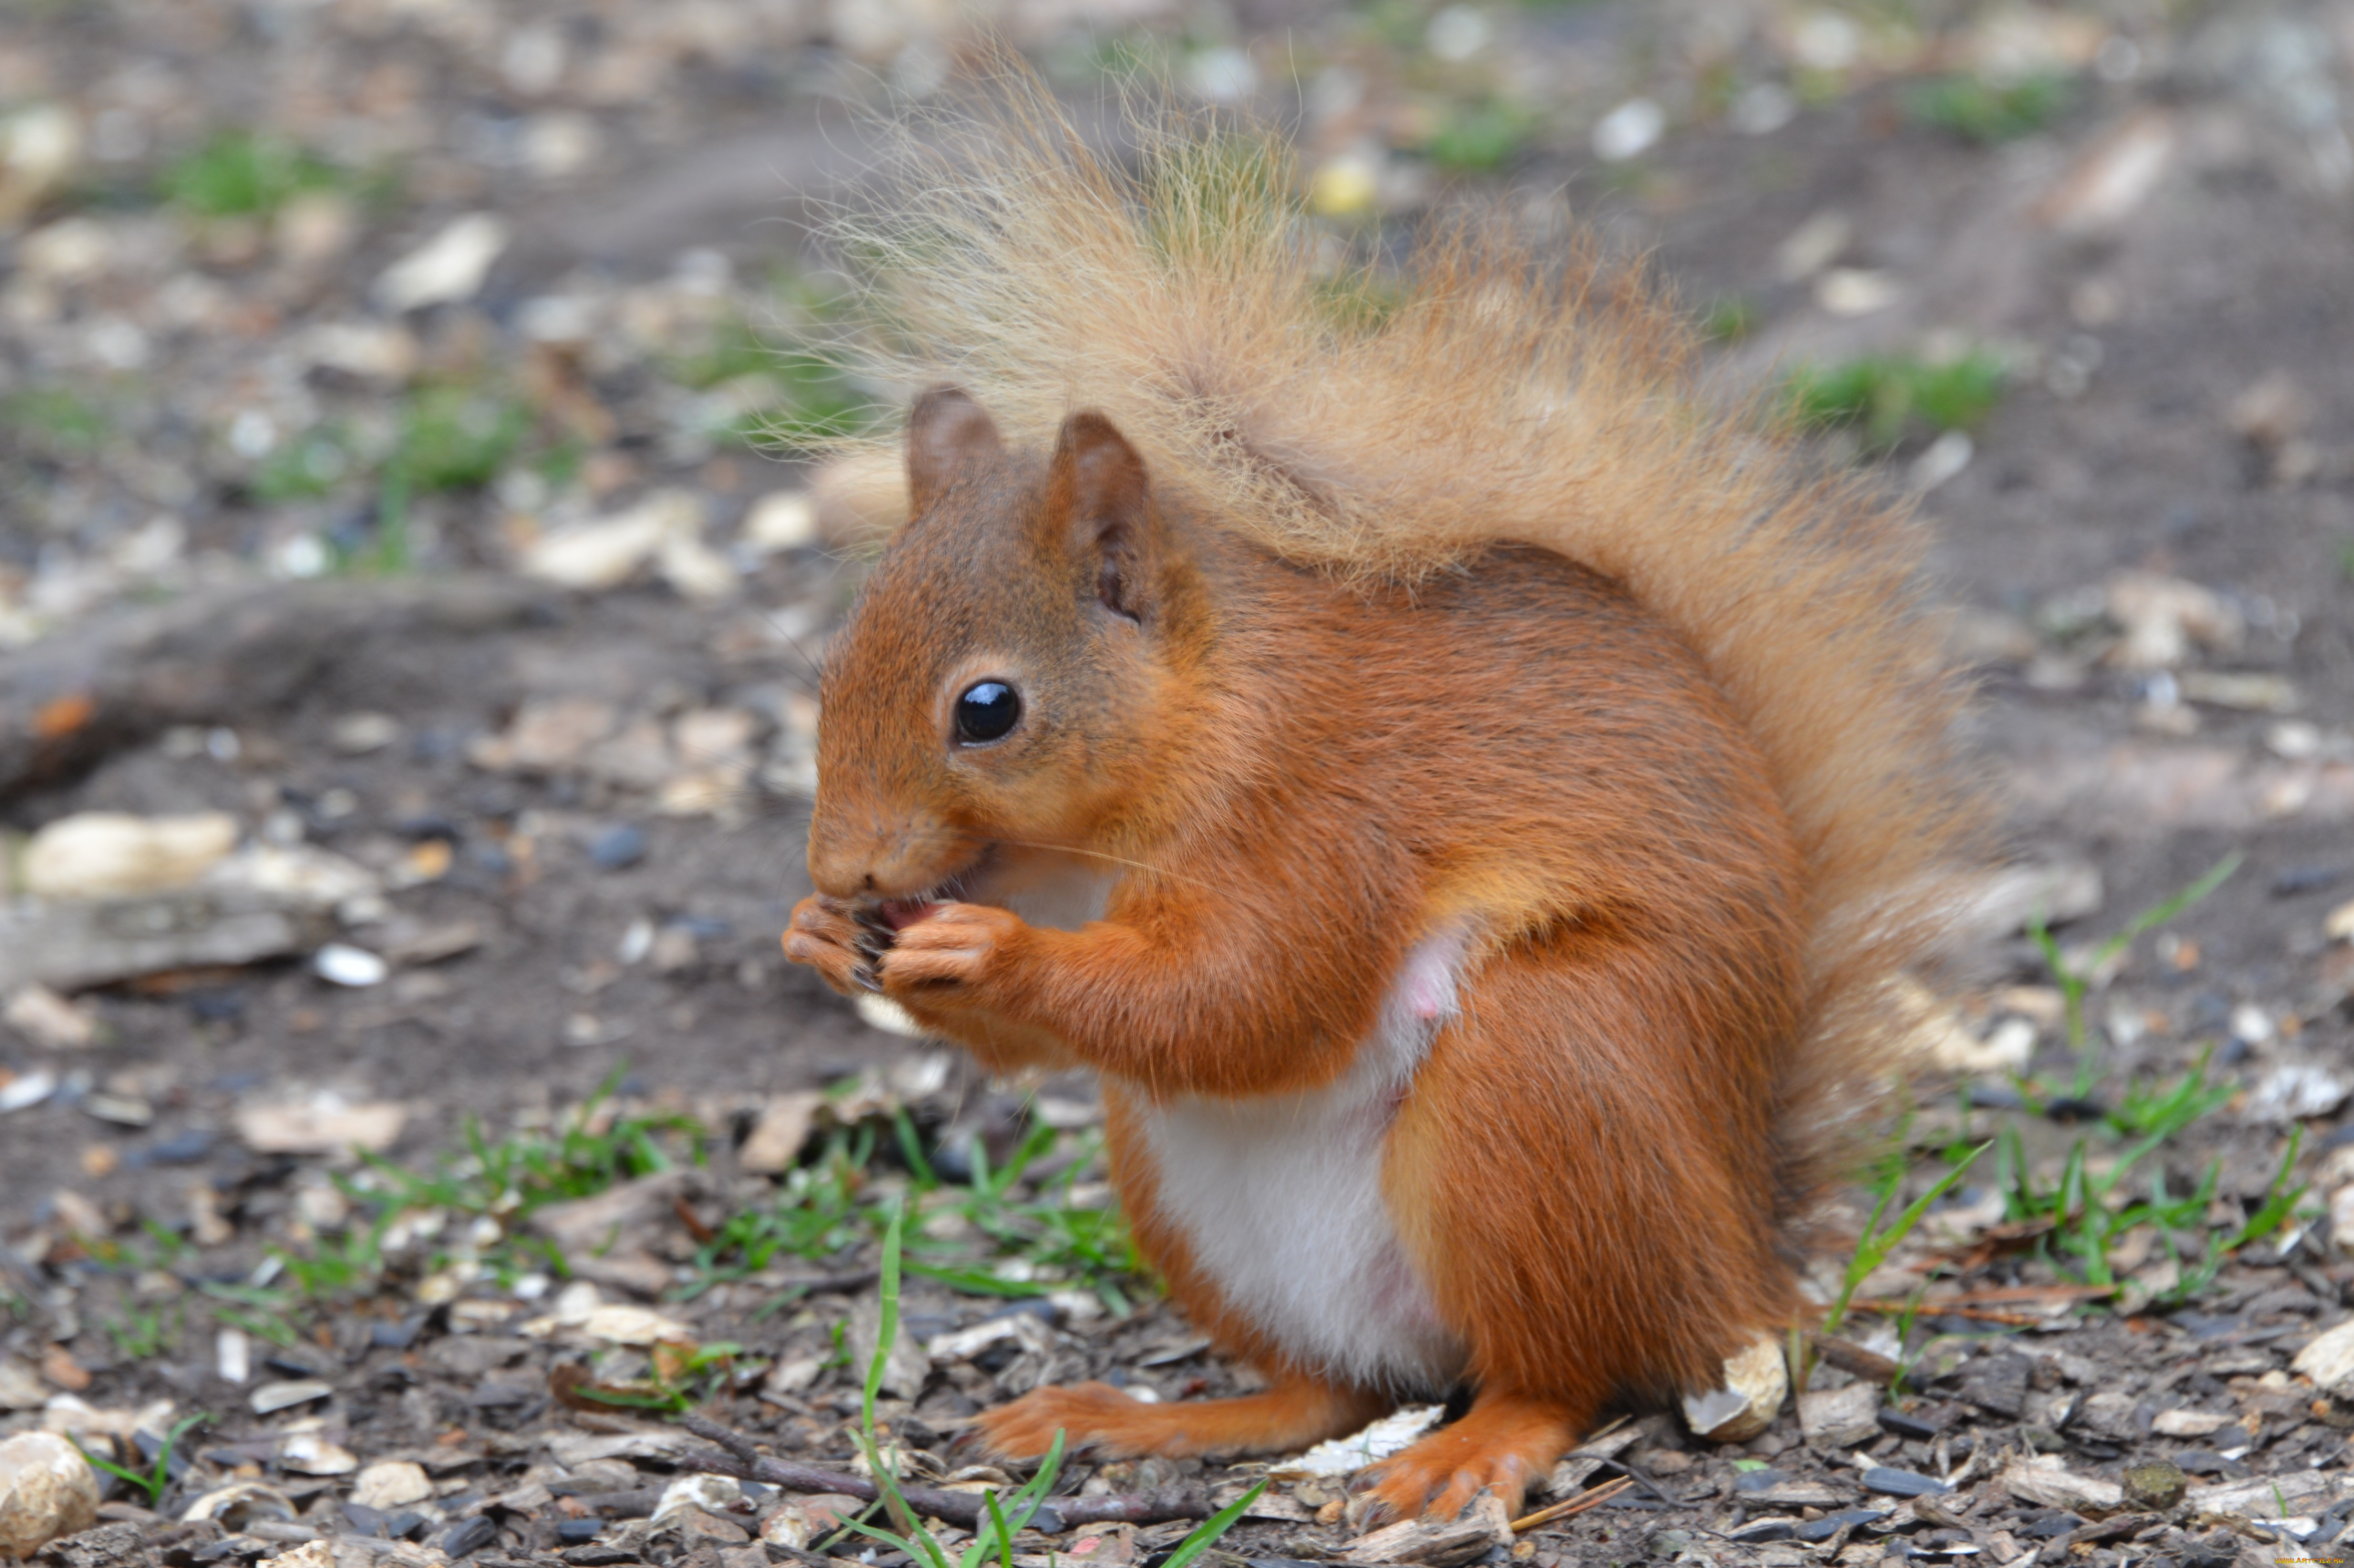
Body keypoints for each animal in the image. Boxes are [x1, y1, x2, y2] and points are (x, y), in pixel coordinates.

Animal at [781, 76, 1977, 1525]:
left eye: (988, 709)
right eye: (832, 669)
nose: (845, 871)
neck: (1097, 836)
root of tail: (1740, 1252)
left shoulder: (1319, 818)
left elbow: (1248, 997)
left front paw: (988, 950)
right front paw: (821, 939)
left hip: (1542, 1078)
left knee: (1562, 1371)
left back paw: (1474, 1448)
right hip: (1186, 1198)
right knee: (1331, 1389)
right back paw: (1144, 1417)